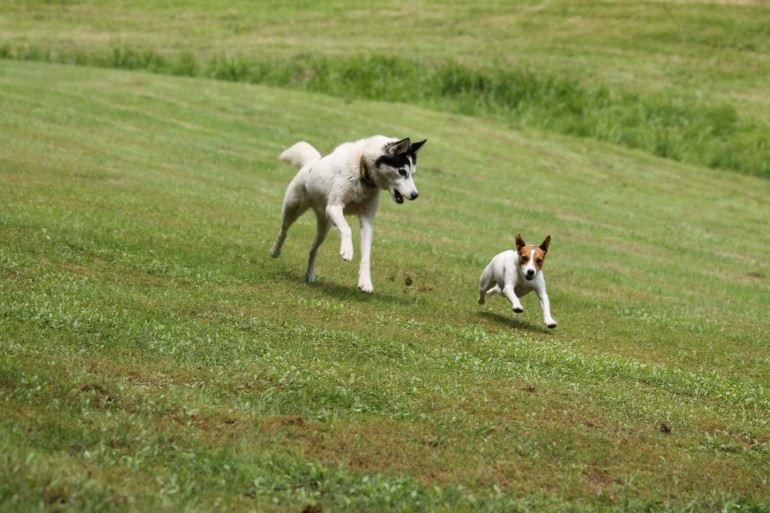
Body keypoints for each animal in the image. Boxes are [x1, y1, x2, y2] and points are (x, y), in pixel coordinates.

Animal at [270, 134, 426, 294]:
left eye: (412, 174)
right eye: (402, 171)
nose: (415, 195)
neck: (363, 172)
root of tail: (312, 162)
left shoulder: (366, 221)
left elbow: (366, 255)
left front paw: (365, 281)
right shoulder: (334, 207)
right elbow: (347, 229)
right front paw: (347, 250)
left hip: (324, 226)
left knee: (313, 248)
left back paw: (310, 275)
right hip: (293, 208)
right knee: (283, 231)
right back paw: (275, 252)